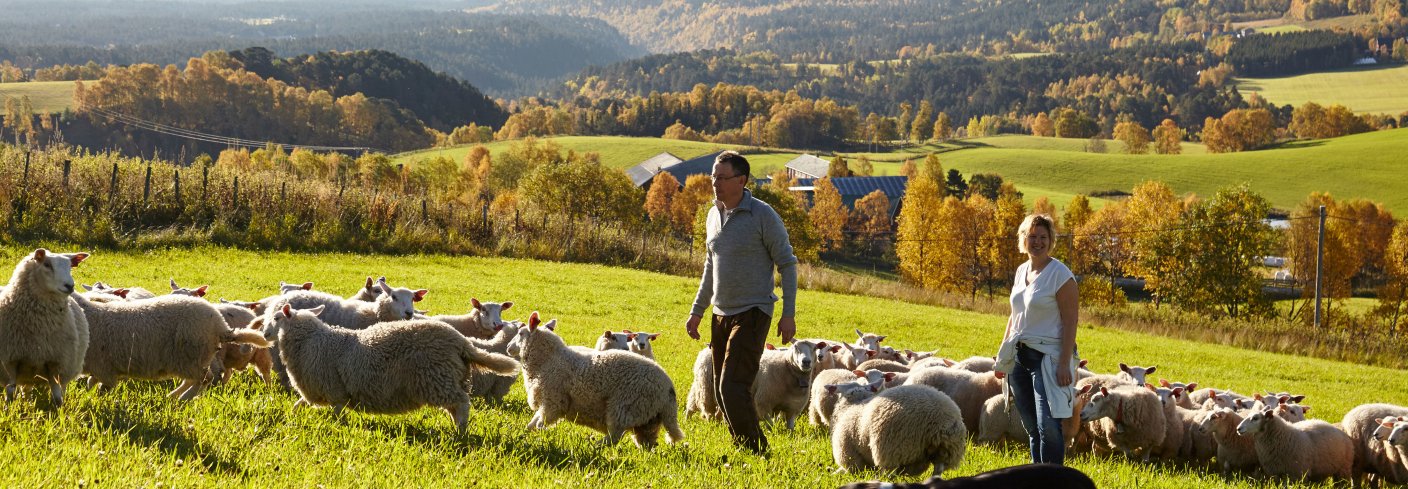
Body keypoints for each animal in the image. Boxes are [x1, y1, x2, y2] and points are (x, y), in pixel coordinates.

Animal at [0, 249, 90, 408]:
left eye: (70, 266)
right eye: (47, 265)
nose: (70, 286)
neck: (38, 326)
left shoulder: (56, 362)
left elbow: (57, 395)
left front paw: (59, 412)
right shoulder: (9, 360)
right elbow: (10, 392)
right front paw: (7, 409)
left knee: (59, 388)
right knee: (25, 389)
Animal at [261, 304, 520, 434]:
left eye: (276, 318)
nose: (264, 334)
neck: (309, 341)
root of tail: (460, 341)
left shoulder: (335, 391)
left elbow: (336, 414)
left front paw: (336, 426)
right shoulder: (321, 390)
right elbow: (299, 404)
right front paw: (292, 416)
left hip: (436, 379)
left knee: (463, 403)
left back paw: (461, 431)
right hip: (446, 379)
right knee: (456, 405)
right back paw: (457, 427)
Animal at [518, 314, 687, 448]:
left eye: (520, 333)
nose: (510, 347)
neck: (548, 359)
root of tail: (668, 389)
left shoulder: (553, 402)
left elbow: (539, 423)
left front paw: (537, 434)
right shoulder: (547, 403)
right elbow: (533, 423)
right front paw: (525, 433)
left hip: (625, 408)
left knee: (615, 437)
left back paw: (595, 446)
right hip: (647, 419)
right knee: (647, 443)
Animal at [822, 383, 968, 479]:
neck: (854, 403)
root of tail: (942, 421)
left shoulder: (851, 456)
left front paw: (832, 474)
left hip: (892, 448)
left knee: (889, 474)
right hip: (947, 450)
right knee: (938, 469)